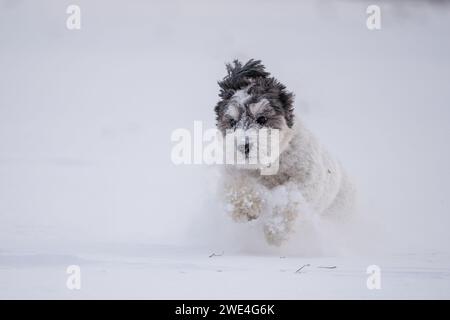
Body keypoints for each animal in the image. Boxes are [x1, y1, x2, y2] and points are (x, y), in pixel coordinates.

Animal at [214, 59, 356, 245]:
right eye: (231, 122)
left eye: (262, 118)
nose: (243, 146)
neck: (270, 167)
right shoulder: (232, 169)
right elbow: (236, 183)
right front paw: (247, 207)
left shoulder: (307, 178)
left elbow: (290, 200)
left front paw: (276, 230)